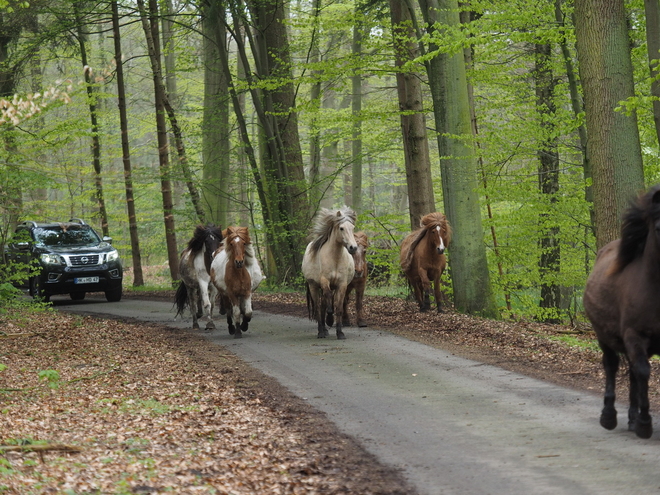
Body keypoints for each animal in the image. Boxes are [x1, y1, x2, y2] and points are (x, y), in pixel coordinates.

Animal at [302, 206, 358, 340]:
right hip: (313, 286)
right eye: (341, 228)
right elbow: (327, 301)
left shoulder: (341, 285)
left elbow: (338, 307)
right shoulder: (325, 281)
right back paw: (321, 331)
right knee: (318, 306)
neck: (335, 259)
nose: (353, 247)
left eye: (352, 227)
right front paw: (329, 319)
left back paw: (325, 330)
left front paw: (340, 333)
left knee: (322, 305)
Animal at [584, 184, 660, 440]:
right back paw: (609, 416)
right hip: (605, 337)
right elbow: (644, 373)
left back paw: (632, 417)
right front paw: (645, 424)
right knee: (612, 366)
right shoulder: (634, 335)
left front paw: (639, 419)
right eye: (659, 226)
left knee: (633, 374)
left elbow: (639, 375)